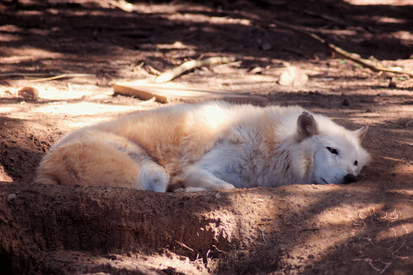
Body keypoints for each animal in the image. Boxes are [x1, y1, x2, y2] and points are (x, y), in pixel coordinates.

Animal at [36, 101, 370, 192]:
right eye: (332, 151)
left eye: (355, 162)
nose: (351, 178)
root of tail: (43, 167)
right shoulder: (198, 169)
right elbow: (227, 187)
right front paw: (190, 189)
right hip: (153, 173)